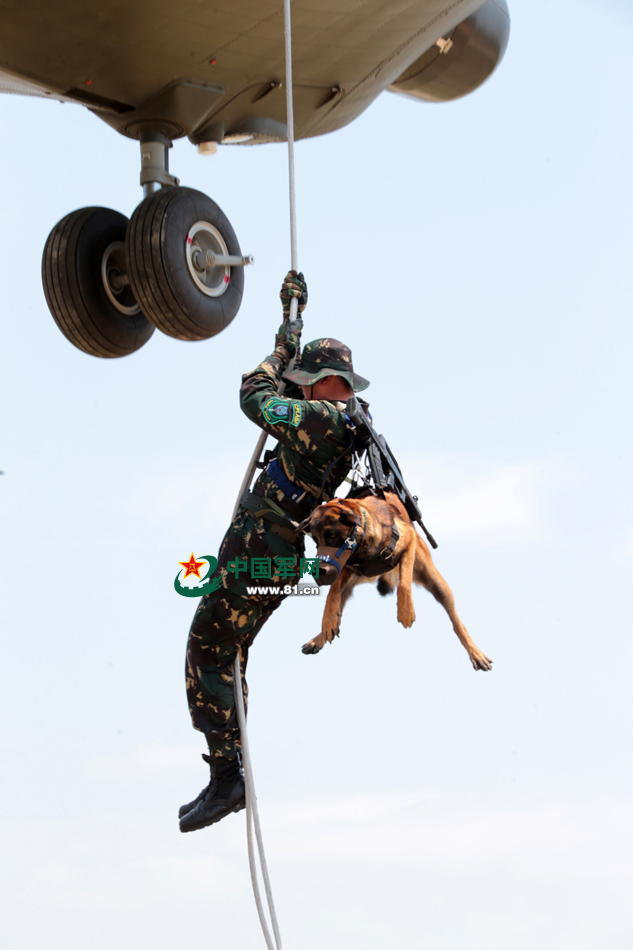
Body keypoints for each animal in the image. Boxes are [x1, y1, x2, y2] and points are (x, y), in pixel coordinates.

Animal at [298, 490, 492, 668]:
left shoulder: (408, 541)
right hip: (350, 583)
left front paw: (406, 611)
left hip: (437, 584)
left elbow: (404, 583)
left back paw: (475, 653)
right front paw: (327, 622)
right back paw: (321, 636)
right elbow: (332, 595)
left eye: (332, 535)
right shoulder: (343, 568)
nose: (318, 572)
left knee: (457, 622)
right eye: (316, 541)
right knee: (340, 603)